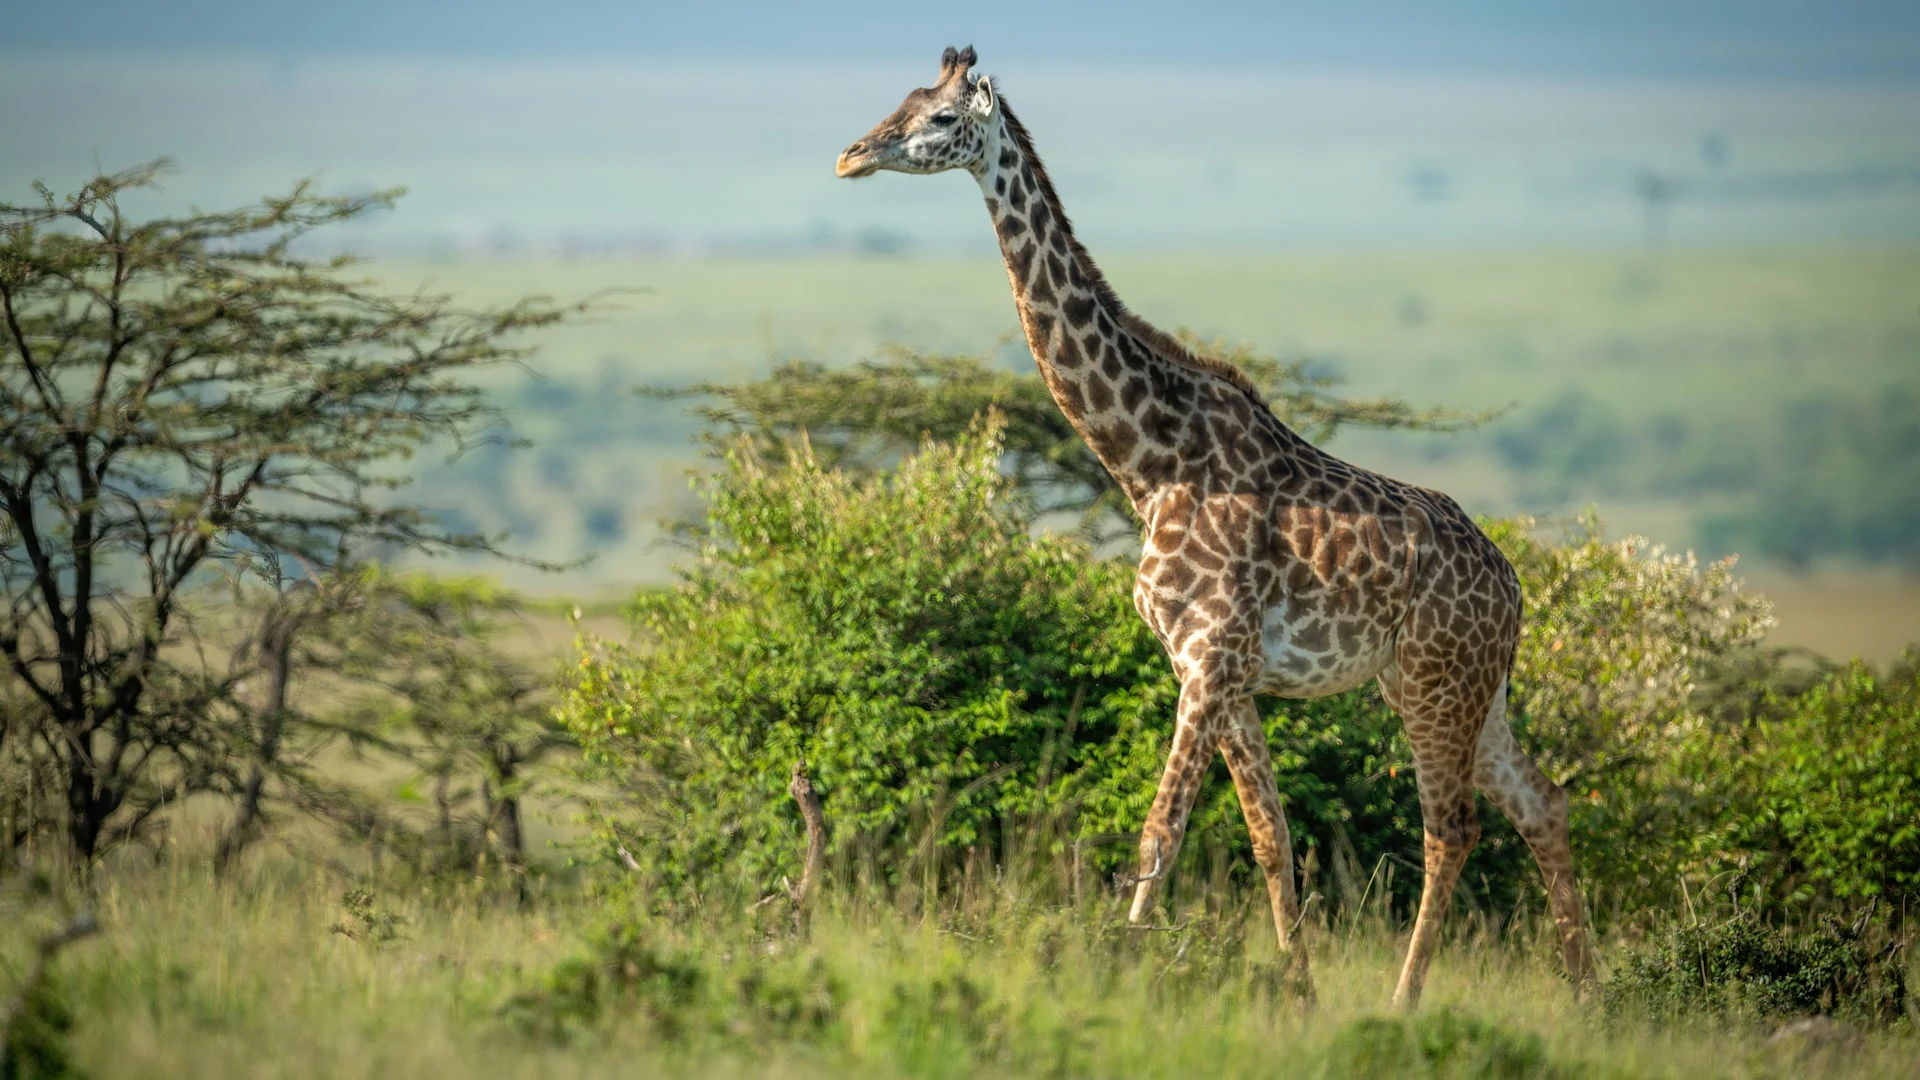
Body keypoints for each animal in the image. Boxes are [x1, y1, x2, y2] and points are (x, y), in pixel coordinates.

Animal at [836, 46, 1596, 1006]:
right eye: (899, 100)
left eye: (938, 119)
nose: (851, 156)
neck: (1150, 459)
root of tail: (1518, 588)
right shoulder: (1216, 670)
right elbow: (1271, 837)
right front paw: (1299, 995)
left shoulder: (1209, 659)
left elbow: (1160, 832)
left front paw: (1116, 971)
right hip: (1464, 688)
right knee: (1545, 803)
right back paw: (1591, 999)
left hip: (1435, 682)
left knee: (1451, 828)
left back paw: (1406, 1001)